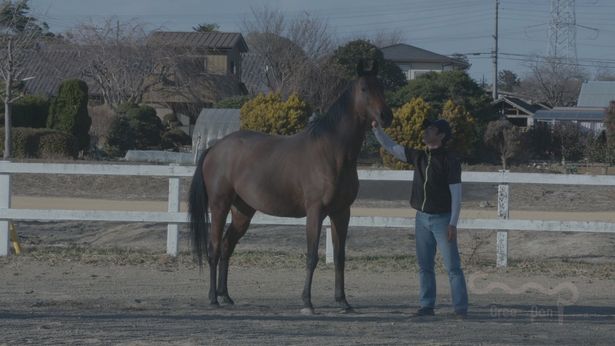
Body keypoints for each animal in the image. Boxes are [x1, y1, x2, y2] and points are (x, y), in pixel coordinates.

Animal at [188, 60, 394, 314]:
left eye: (381, 87)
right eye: (364, 88)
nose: (386, 116)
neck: (332, 152)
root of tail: (214, 149)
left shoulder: (341, 213)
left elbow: (340, 257)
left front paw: (342, 301)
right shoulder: (315, 212)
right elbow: (311, 256)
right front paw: (307, 302)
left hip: (242, 211)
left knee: (227, 246)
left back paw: (225, 295)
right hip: (219, 205)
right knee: (214, 247)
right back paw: (213, 298)